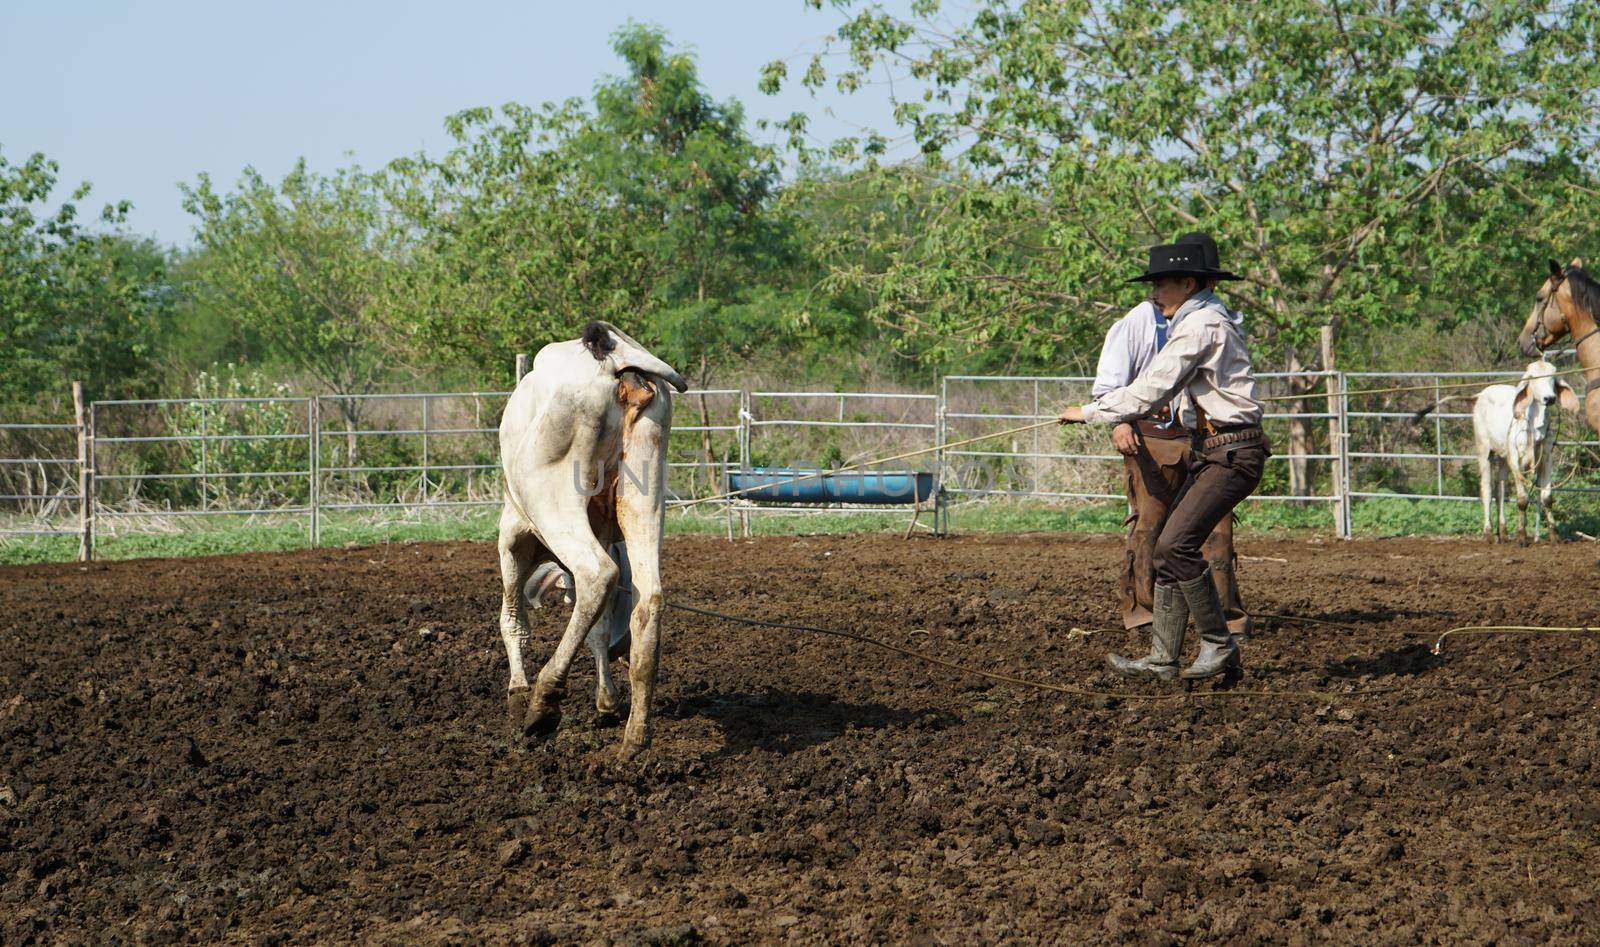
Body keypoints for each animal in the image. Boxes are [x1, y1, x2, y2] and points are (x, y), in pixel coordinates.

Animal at [499, 321, 688, 758]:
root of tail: (613, 358)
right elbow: (598, 628)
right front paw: (607, 702)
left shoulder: (513, 538)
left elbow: (513, 620)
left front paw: (518, 692)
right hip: (644, 492)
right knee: (648, 597)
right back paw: (635, 738)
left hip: (553, 498)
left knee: (597, 574)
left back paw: (544, 700)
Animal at [1472, 358, 1574, 543]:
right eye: (1533, 377)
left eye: (1553, 376)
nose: (1550, 398)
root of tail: (1482, 394)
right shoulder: (1516, 460)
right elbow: (1522, 500)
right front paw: (1521, 536)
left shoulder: (1546, 456)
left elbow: (1547, 498)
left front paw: (1554, 535)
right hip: (1484, 450)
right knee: (1487, 490)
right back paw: (1489, 533)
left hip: (1503, 457)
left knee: (1500, 492)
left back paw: (1504, 533)